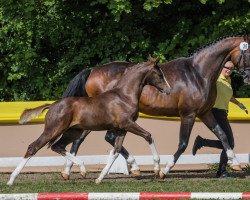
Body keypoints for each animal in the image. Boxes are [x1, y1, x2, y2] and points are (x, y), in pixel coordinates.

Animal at [7, 56, 170, 184]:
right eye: (159, 74)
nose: (168, 90)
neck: (124, 96)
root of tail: (52, 105)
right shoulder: (128, 124)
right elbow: (148, 136)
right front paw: (157, 169)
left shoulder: (121, 129)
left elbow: (116, 151)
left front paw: (99, 178)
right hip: (53, 130)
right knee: (33, 147)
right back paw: (11, 180)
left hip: (73, 131)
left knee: (58, 146)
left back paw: (82, 169)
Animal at [61, 34, 250, 180]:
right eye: (248, 52)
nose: (248, 77)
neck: (198, 74)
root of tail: (92, 70)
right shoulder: (188, 114)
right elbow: (183, 143)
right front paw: (164, 170)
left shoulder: (205, 113)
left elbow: (223, 135)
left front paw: (236, 164)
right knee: (98, 138)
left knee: (87, 138)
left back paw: (70, 171)